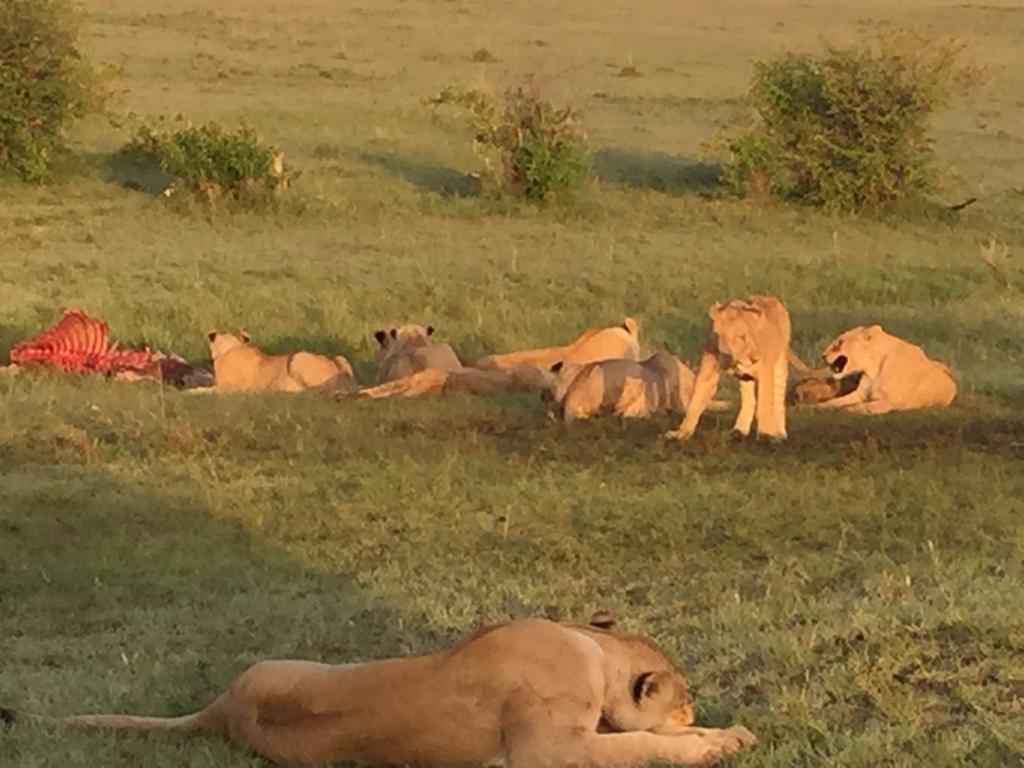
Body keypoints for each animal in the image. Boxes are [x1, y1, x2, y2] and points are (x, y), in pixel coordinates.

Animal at [667, 295, 794, 441]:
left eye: (758, 337)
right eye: (741, 338)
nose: (756, 359)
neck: (731, 358)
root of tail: (770, 297)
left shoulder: (765, 372)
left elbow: (766, 404)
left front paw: (765, 435)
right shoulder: (707, 372)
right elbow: (695, 402)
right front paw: (682, 433)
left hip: (779, 364)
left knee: (778, 399)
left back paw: (779, 433)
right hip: (746, 378)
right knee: (749, 399)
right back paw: (739, 430)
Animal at [815, 325, 957, 414]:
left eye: (839, 343)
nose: (822, 355)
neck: (872, 368)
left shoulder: (892, 401)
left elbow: (863, 406)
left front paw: (845, 410)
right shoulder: (860, 394)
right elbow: (833, 402)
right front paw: (816, 406)